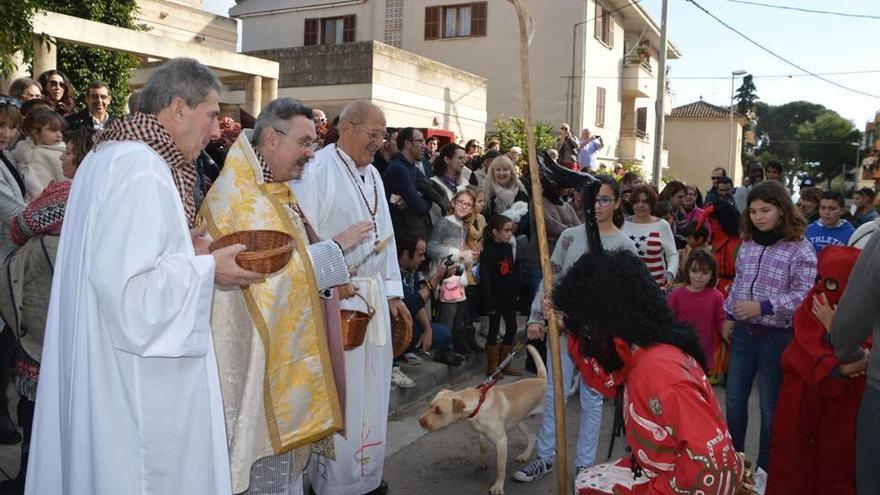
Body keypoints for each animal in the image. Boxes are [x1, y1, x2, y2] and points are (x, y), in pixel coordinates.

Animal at [418, 344, 544, 495]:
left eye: (439, 411)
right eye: (430, 406)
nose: (420, 421)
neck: (479, 403)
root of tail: (542, 379)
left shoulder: (501, 441)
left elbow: (501, 468)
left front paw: (498, 486)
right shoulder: (481, 433)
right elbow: (482, 446)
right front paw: (484, 461)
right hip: (521, 422)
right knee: (533, 437)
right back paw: (525, 456)